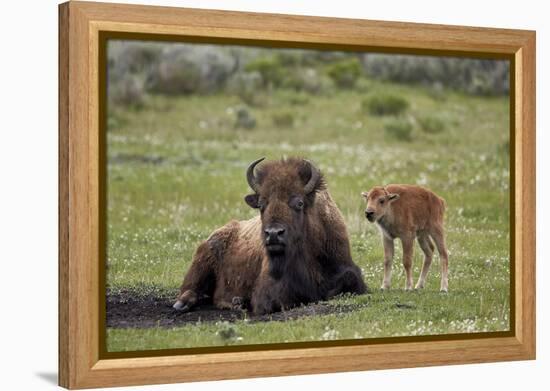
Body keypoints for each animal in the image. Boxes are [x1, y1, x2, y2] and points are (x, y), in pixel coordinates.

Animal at [175, 157, 368, 316]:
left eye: (299, 203)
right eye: (261, 204)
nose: (273, 234)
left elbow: (348, 279)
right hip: (201, 262)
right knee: (190, 289)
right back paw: (185, 305)